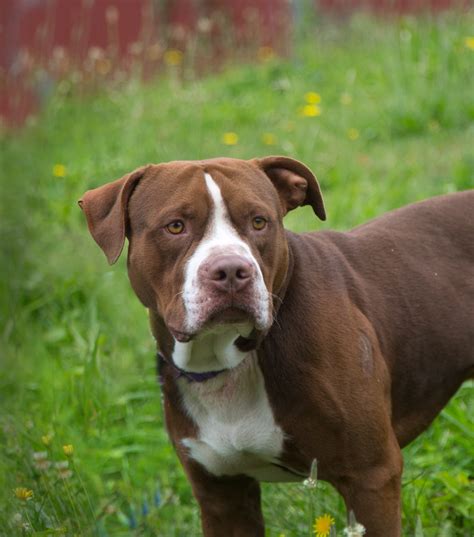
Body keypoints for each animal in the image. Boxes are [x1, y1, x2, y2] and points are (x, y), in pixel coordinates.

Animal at [79, 156, 472, 536]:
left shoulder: (372, 477)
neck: (232, 361)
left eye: (258, 222)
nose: (231, 270)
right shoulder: (223, 496)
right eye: (175, 226)